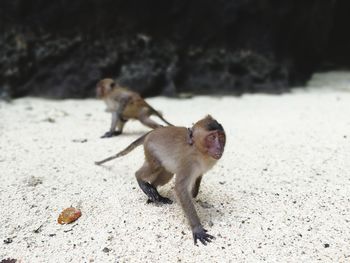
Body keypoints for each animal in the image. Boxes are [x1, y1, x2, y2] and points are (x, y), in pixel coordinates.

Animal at [95, 115, 227, 245]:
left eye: (221, 137)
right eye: (212, 137)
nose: (219, 147)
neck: (199, 151)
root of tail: (151, 132)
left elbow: (197, 178)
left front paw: (195, 191)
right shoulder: (188, 162)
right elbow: (181, 189)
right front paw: (197, 228)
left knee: (167, 173)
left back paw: (154, 192)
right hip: (150, 149)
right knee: (155, 166)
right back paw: (141, 180)